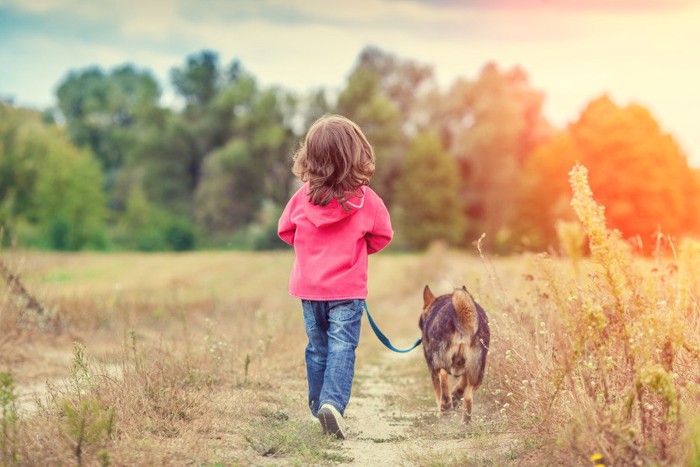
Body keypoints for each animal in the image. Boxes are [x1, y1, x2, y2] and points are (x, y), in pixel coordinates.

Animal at [418, 286, 490, 424]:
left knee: (443, 375)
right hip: (478, 370)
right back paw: (465, 420)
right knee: (468, 397)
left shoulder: (432, 370)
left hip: (438, 360)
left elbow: (438, 393)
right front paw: (455, 397)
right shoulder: (467, 370)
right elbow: (461, 385)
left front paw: (442, 410)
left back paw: (445, 405)